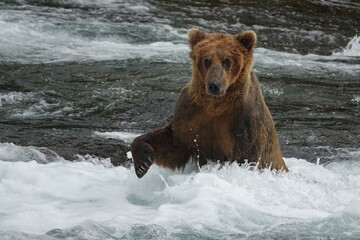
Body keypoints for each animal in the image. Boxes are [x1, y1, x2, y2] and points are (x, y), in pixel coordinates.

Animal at [131, 28, 288, 178]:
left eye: (227, 61)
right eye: (206, 60)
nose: (214, 85)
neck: (216, 104)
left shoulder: (243, 118)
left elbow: (246, 153)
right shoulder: (191, 113)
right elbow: (173, 143)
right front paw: (143, 162)